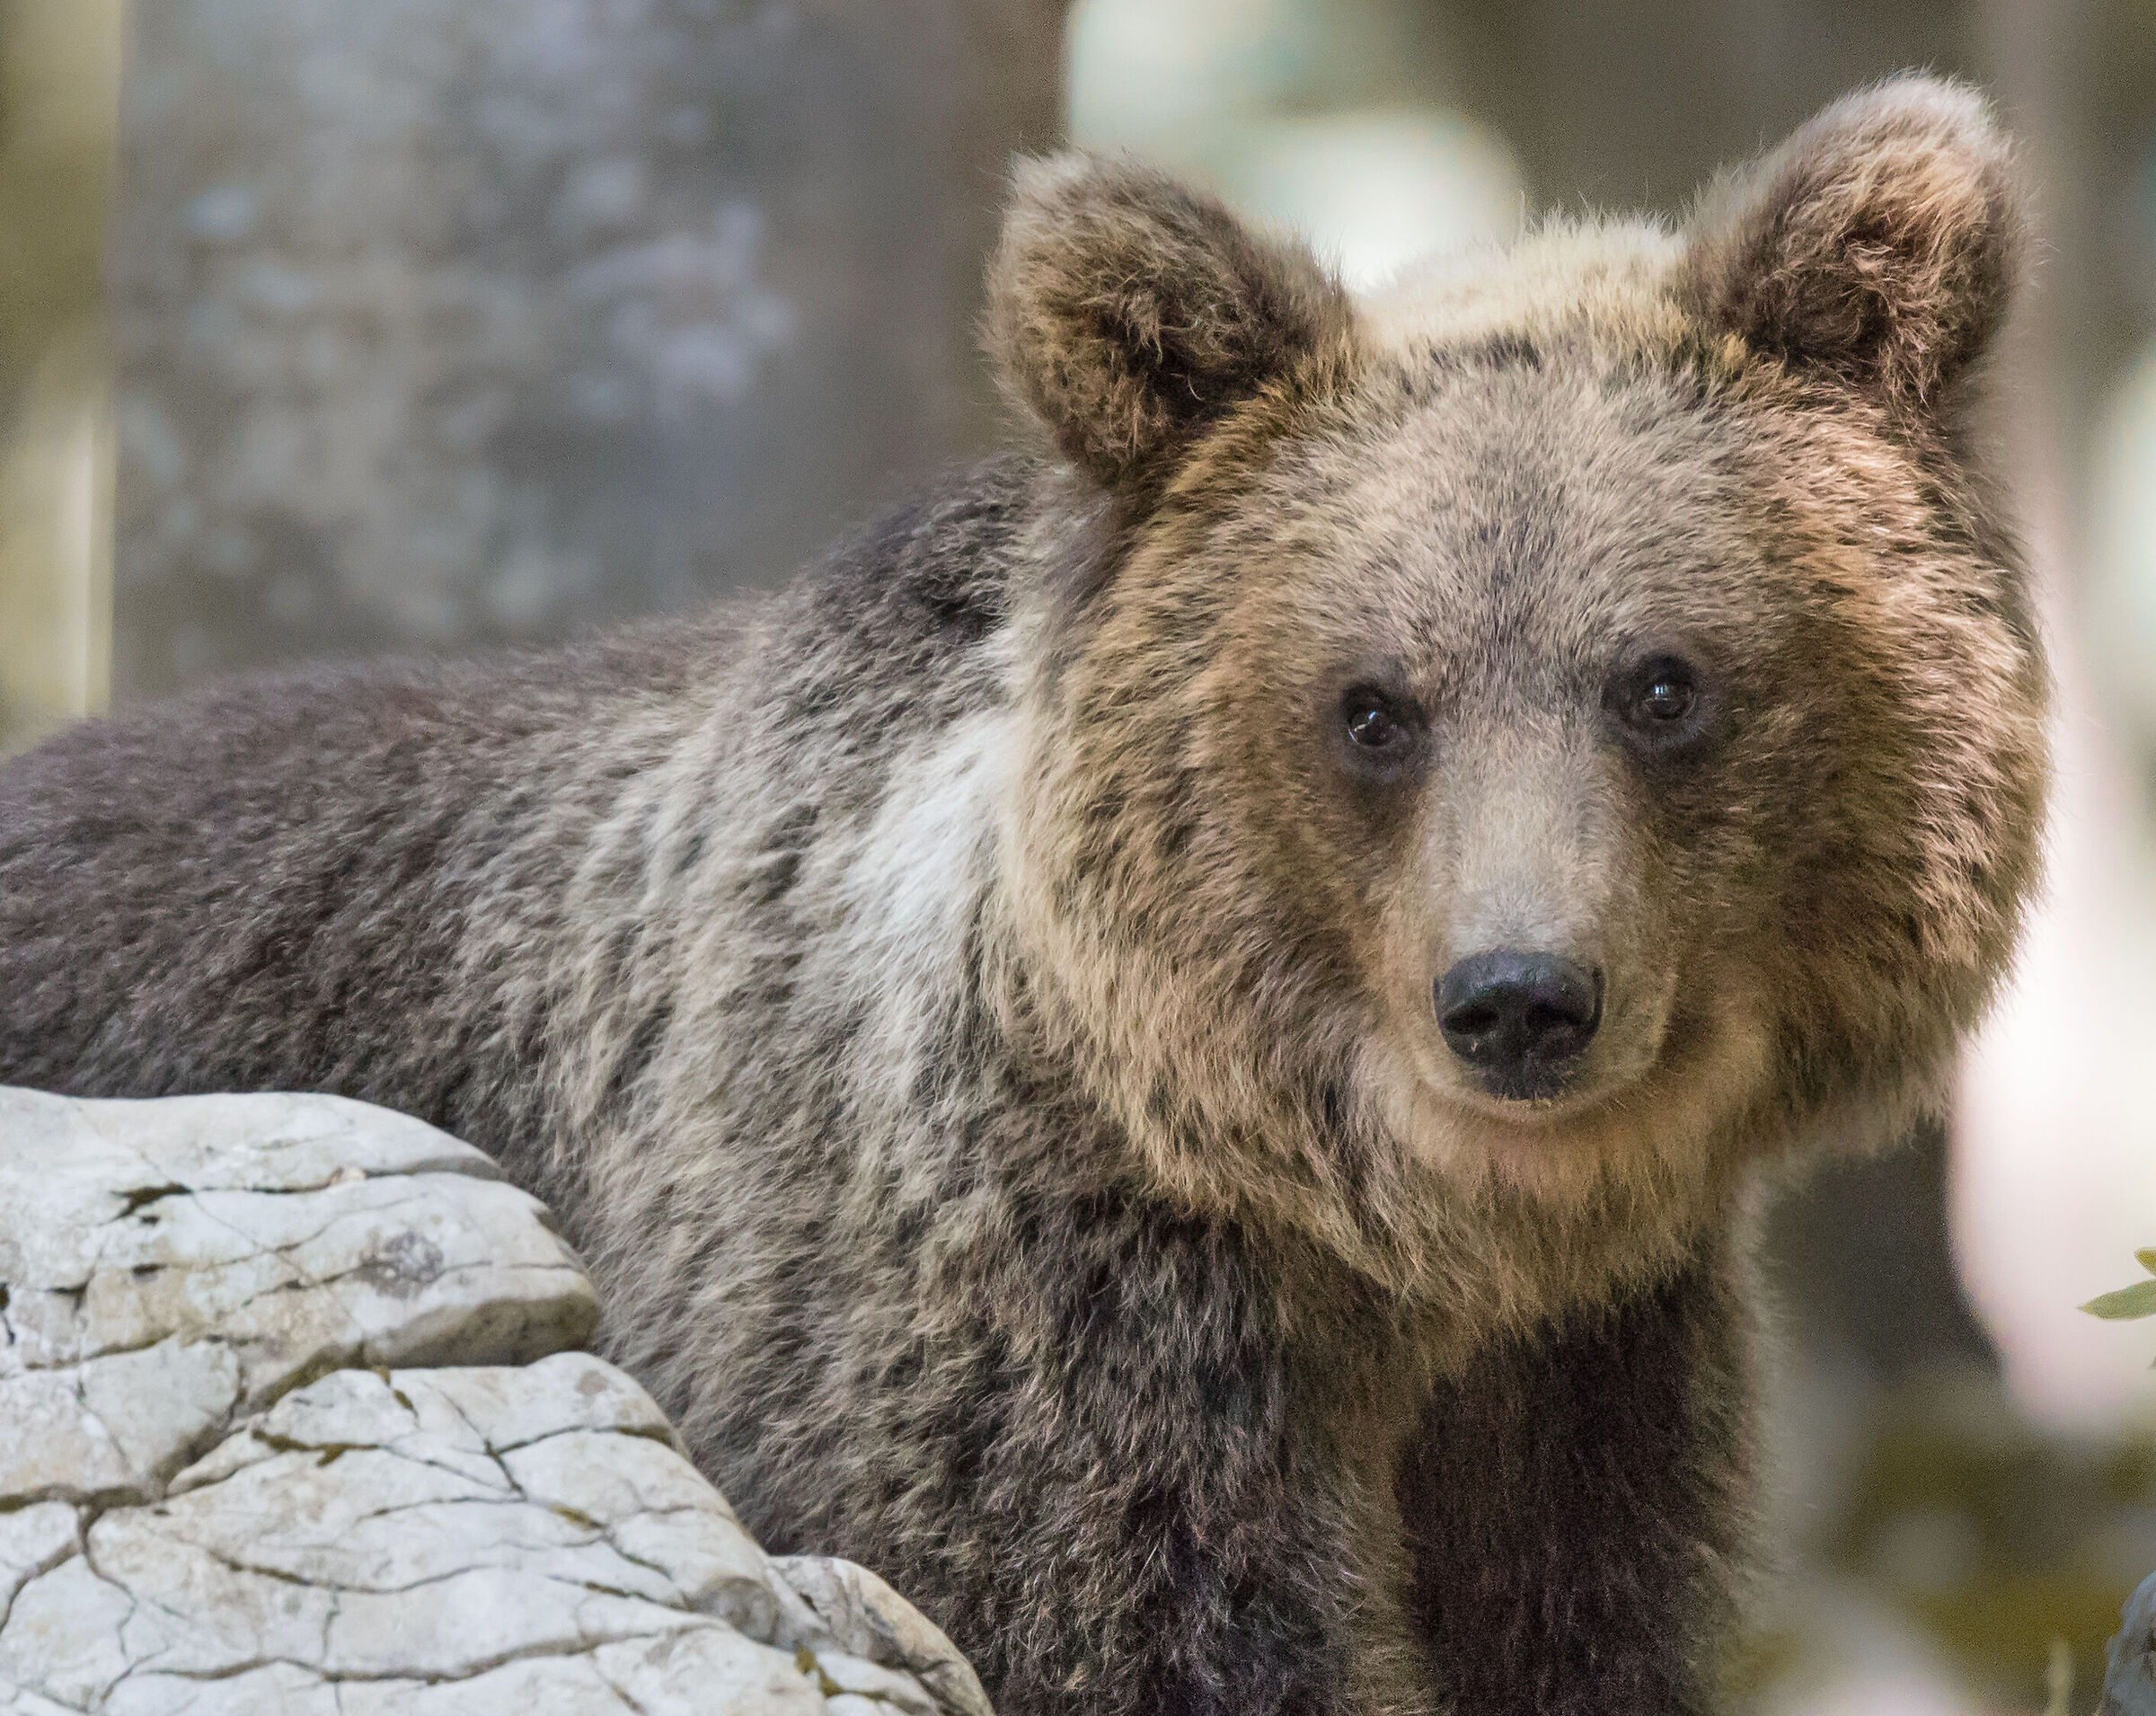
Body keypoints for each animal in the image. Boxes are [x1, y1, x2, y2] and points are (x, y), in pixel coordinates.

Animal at [0, 75, 2046, 1716]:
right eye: (1373, 704)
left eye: (1662, 681)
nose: (1521, 996)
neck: (1395, 1255)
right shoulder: (1033, 1348)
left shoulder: (1581, 1394)